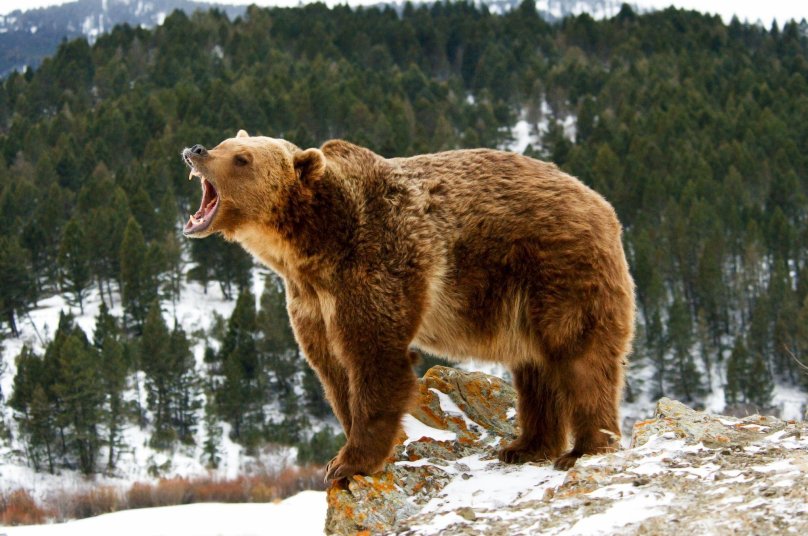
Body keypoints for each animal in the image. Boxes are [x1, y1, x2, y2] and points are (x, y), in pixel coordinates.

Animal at [181, 130, 635, 480]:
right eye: (226, 142)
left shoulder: (376, 263)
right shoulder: (310, 301)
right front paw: (344, 451)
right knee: (535, 368)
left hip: (558, 269)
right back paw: (525, 445)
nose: (197, 150)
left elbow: (375, 358)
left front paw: (348, 463)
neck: (312, 247)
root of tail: (602, 204)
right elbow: (332, 370)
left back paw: (584, 449)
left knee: (580, 357)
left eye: (242, 158)